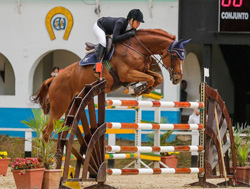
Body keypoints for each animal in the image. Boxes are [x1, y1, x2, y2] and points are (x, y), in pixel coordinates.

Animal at [32, 27, 189, 140]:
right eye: (175, 56)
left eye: (184, 57)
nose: (177, 79)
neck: (138, 47)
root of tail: (54, 79)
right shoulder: (126, 74)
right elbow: (150, 79)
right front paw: (136, 90)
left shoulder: (142, 70)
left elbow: (157, 78)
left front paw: (142, 89)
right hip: (60, 106)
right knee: (47, 132)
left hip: (71, 106)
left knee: (62, 130)